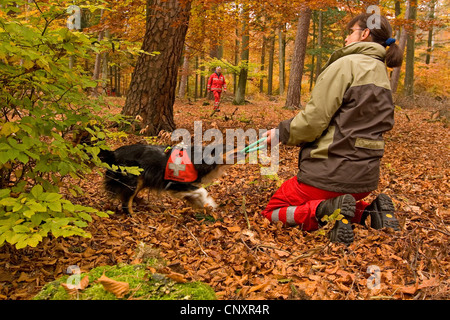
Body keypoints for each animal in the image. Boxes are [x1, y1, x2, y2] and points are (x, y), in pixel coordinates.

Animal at [98, 144, 239, 215]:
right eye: (232, 146)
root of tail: (113, 153)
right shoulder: (175, 182)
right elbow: (202, 191)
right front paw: (210, 203)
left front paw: (204, 206)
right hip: (133, 178)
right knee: (126, 201)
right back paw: (133, 216)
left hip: (142, 179)